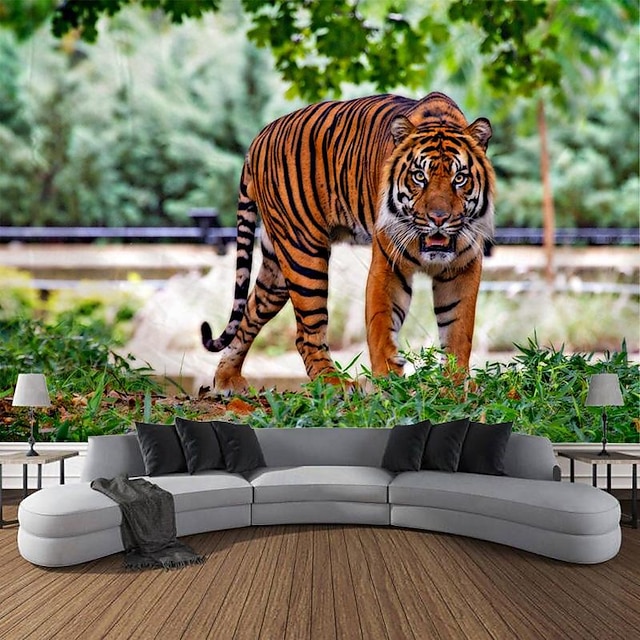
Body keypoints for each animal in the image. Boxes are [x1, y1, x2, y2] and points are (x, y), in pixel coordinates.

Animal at [201, 91, 495, 393]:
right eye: (419, 177)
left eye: (459, 178)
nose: (438, 218)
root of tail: (259, 136)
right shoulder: (388, 264)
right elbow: (381, 326)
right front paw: (388, 384)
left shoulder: (463, 267)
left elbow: (458, 330)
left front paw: (455, 385)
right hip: (304, 254)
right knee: (307, 333)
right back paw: (334, 384)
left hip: (277, 268)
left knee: (250, 312)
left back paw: (227, 379)